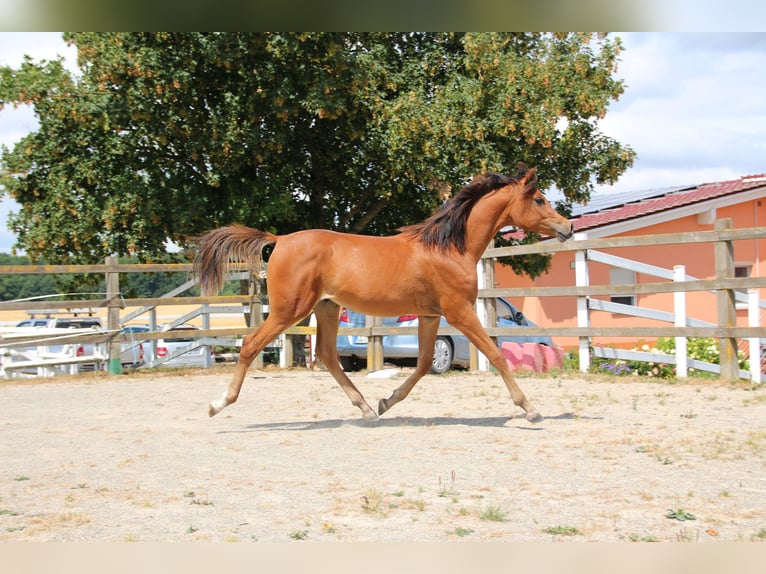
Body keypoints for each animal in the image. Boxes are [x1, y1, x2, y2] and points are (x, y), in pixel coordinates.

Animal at [194, 165, 574, 423]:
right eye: (539, 199)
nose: (567, 227)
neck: (450, 248)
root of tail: (280, 239)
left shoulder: (430, 315)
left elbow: (423, 363)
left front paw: (386, 402)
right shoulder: (459, 311)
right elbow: (495, 355)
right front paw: (530, 409)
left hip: (326, 308)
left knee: (328, 356)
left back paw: (365, 408)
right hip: (290, 310)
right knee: (250, 344)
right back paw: (217, 404)